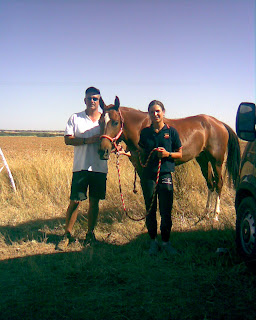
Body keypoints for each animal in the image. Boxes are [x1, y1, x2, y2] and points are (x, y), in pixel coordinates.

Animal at [98, 95, 240, 220]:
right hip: (203, 160)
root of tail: (219, 123)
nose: (102, 151)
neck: (141, 128)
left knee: (219, 184)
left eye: (116, 122)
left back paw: (215, 216)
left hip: (217, 162)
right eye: (100, 122)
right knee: (211, 183)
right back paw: (206, 213)